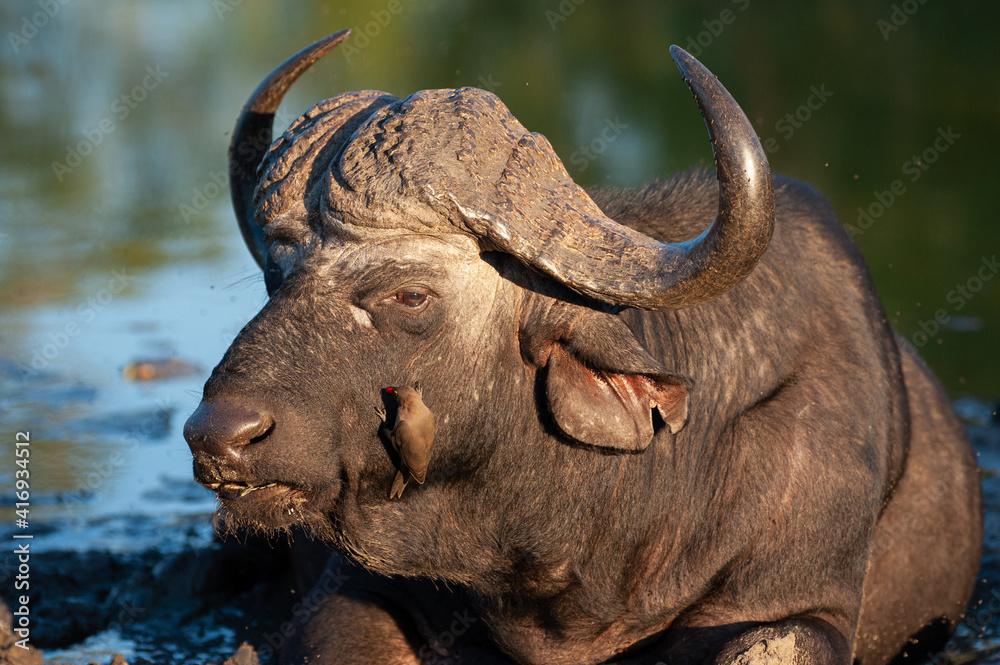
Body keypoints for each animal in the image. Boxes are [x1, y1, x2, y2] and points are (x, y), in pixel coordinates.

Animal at [184, 30, 983, 665]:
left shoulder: (800, 598)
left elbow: (773, 640)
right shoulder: (353, 591)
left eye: (409, 295)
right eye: (274, 275)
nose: (218, 435)